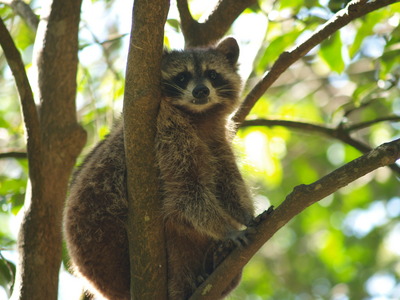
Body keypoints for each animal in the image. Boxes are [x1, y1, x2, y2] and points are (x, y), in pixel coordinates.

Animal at [64, 38, 255, 300]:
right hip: (102, 233)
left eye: (212, 75)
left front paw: (245, 215)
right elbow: (186, 193)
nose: (201, 91)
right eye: (182, 77)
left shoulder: (217, 140)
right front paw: (226, 229)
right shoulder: (166, 131)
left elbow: (227, 182)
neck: (198, 117)